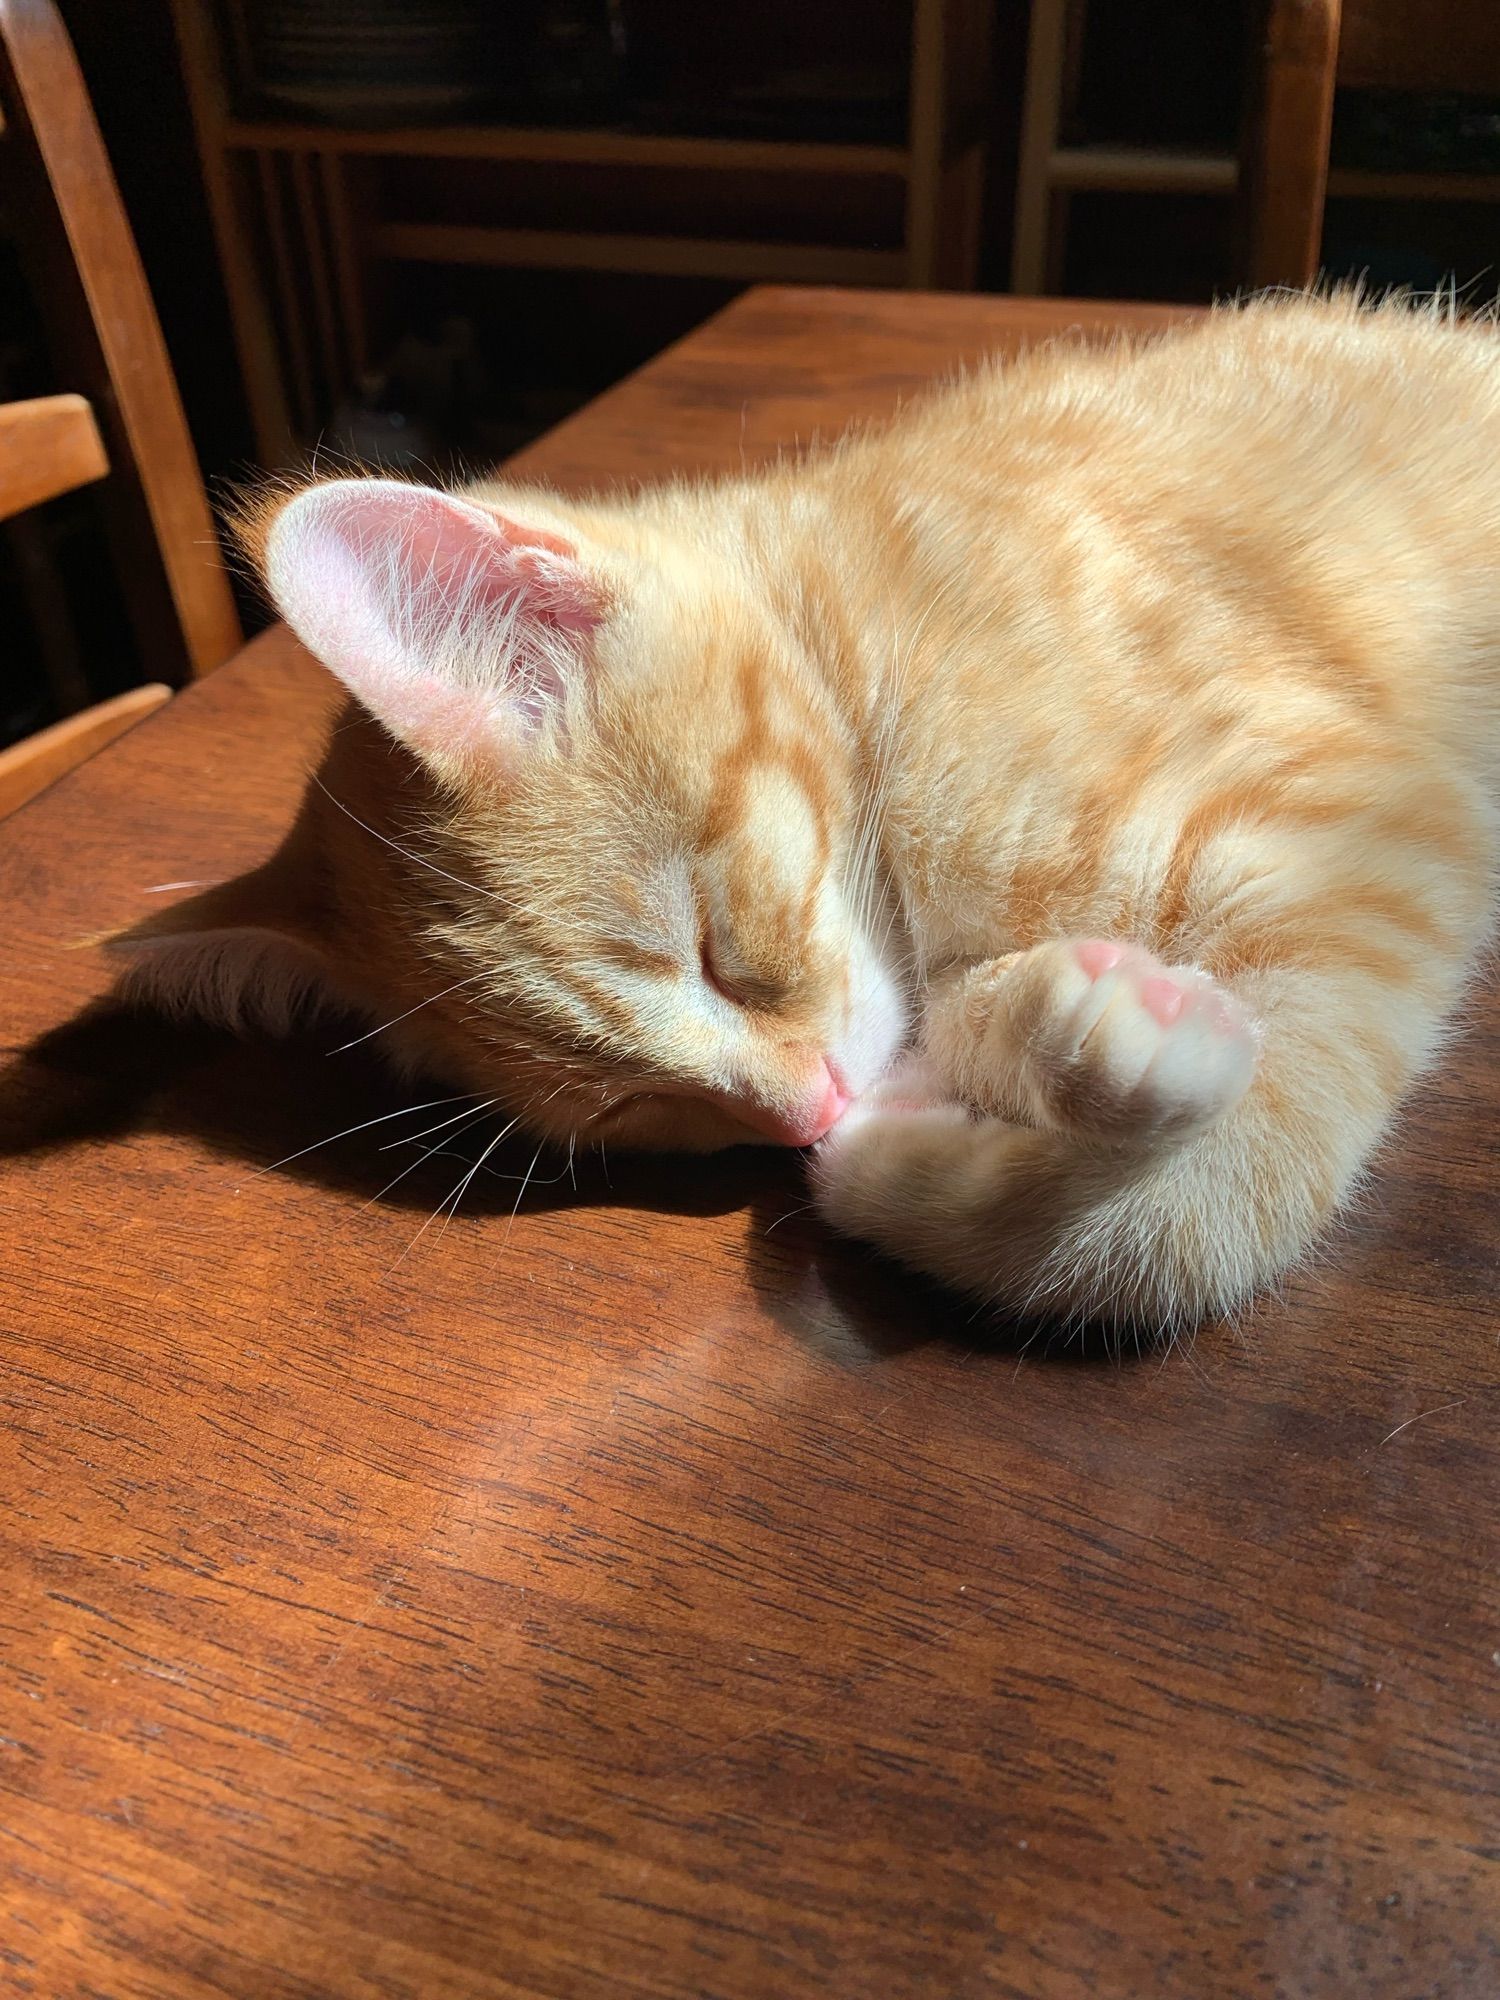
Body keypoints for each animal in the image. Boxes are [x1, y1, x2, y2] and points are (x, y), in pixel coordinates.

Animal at [117, 296, 1500, 1328]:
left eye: (715, 950)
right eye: (632, 1115)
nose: (806, 1116)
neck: (851, 633)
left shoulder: (1371, 841)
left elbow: (1207, 1207)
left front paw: (929, 1143)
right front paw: (1012, 1027)